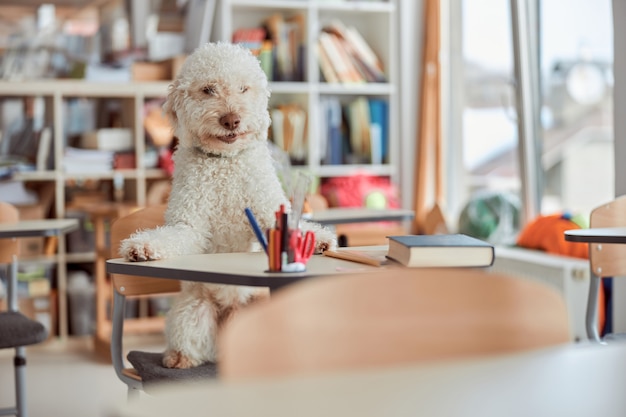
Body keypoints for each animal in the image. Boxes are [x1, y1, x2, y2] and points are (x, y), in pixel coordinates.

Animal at [119, 42, 334, 368]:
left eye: (243, 88)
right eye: (208, 89)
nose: (231, 120)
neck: (225, 163)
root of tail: (232, 312)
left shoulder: (267, 211)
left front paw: (318, 238)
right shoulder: (189, 225)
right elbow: (173, 235)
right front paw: (142, 247)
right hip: (192, 311)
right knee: (190, 340)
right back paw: (178, 358)